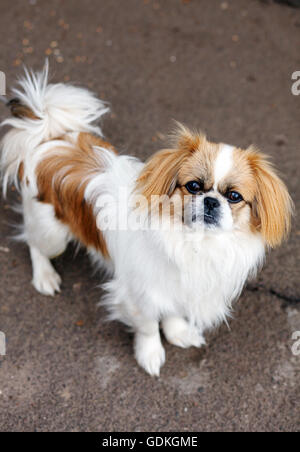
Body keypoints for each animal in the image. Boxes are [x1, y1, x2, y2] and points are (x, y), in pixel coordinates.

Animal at [0, 62, 292, 374]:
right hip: (51, 232)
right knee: (34, 245)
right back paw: (45, 276)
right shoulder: (140, 293)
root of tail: (49, 139)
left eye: (234, 196)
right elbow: (149, 326)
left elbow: (173, 313)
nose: (211, 201)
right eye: (193, 187)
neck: (195, 242)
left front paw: (178, 333)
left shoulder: (178, 289)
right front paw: (150, 354)